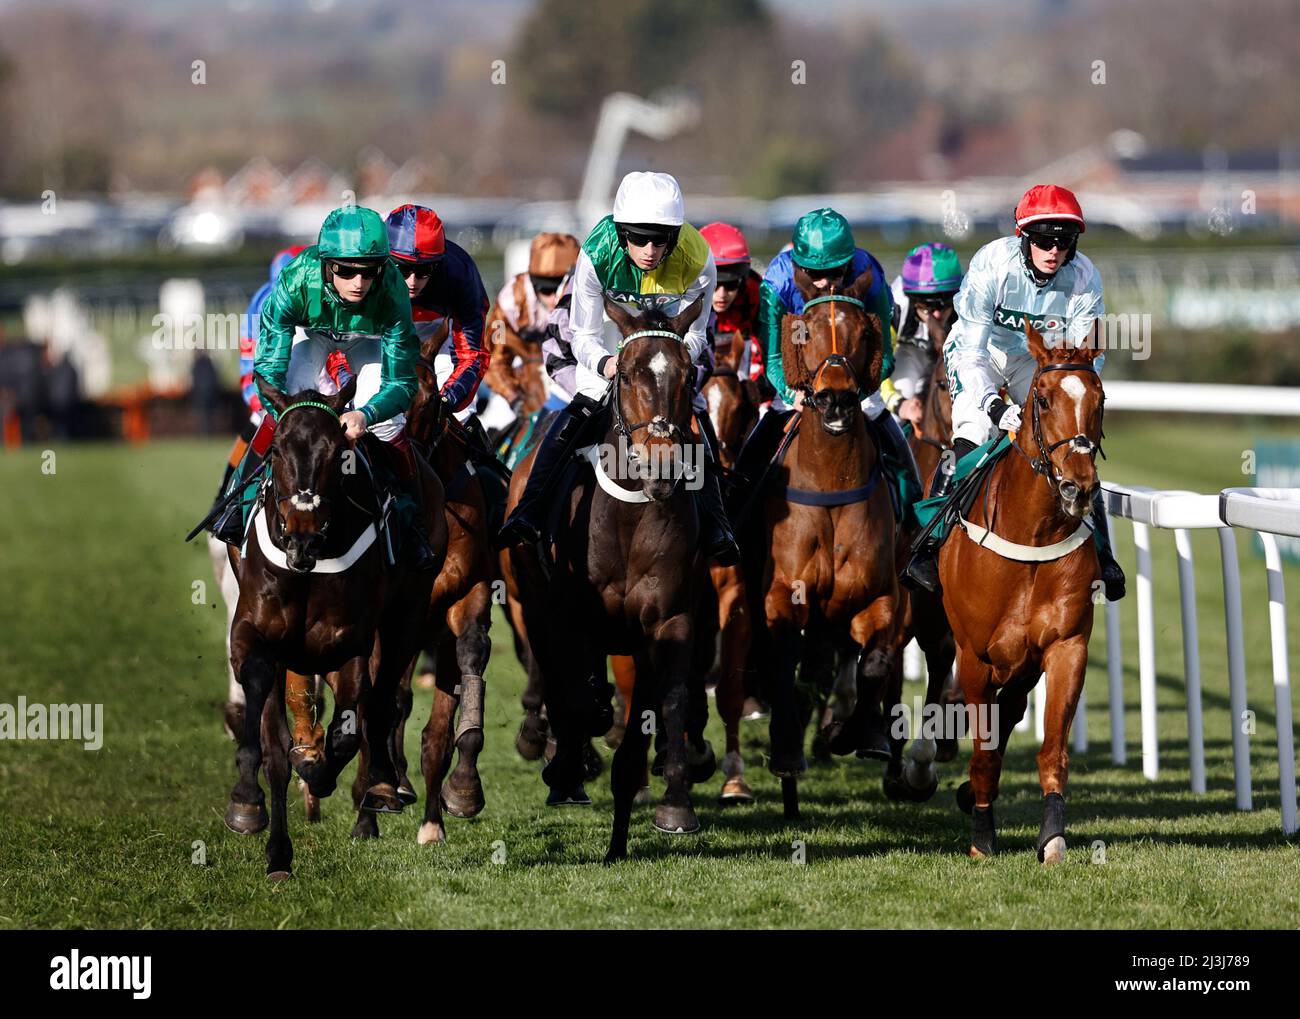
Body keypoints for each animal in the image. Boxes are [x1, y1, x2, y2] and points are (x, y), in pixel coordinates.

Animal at [223, 374, 447, 873]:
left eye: (337, 451)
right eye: (276, 449)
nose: (301, 534)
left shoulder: (350, 645)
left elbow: (347, 734)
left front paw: (319, 772)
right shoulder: (254, 634)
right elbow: (270, 742)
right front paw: (255, 815)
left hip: (407, 614)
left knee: (382, 700)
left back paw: (380, 785)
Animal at [506, 295, 712, 857]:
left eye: (688, 375)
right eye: (626, 373)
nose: (663, 469)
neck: (627, 514)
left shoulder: (666, 620)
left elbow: (666, 702)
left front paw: (670, 806)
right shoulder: (570, 617)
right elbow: (572, 693)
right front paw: (567, 768)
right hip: (532, 604)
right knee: (554, 676)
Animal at [754, 265, 904, 821]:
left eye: (863, 332)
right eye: (805, 331)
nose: (836, 398)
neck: (832, 484)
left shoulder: (880, 596)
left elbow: (875, 664)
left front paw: (855, 734)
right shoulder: (780, 597)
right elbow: (783, 666)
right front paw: (786, 751)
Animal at [941, 324, 1102, 857]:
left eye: (1100, 399)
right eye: (1044, 400)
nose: (1078, 488)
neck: (1031, 534)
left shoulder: (1065, 645)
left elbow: (1052, 750)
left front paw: (1053, 838)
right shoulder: (973, 654)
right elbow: (985, 751)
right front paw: (981, 837)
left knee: (1011, 708)